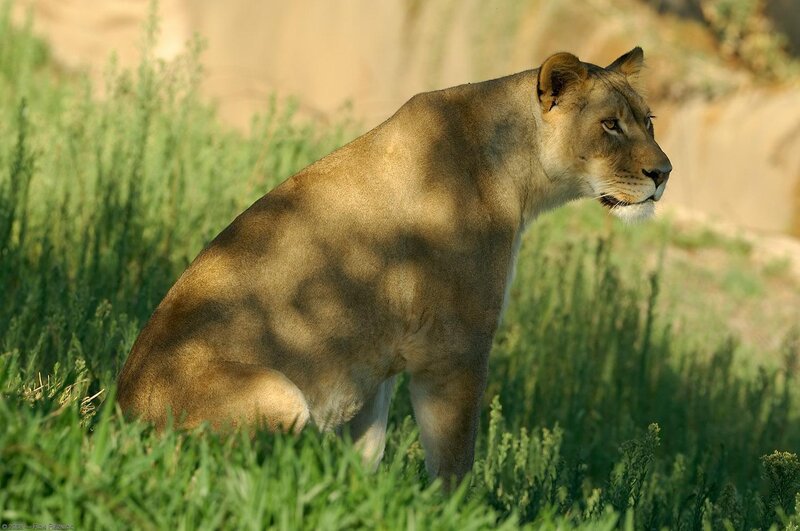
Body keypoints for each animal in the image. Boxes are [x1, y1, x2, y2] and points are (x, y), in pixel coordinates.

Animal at [117, 47, 671, 485]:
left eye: (648, 121)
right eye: (609, 124)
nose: (663, 173)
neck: (523, 176)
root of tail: (121, 418)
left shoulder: (377, 363)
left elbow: (367, 453)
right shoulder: (455, 346)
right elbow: (454, 459)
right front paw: (453, 511)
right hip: (278, 394)